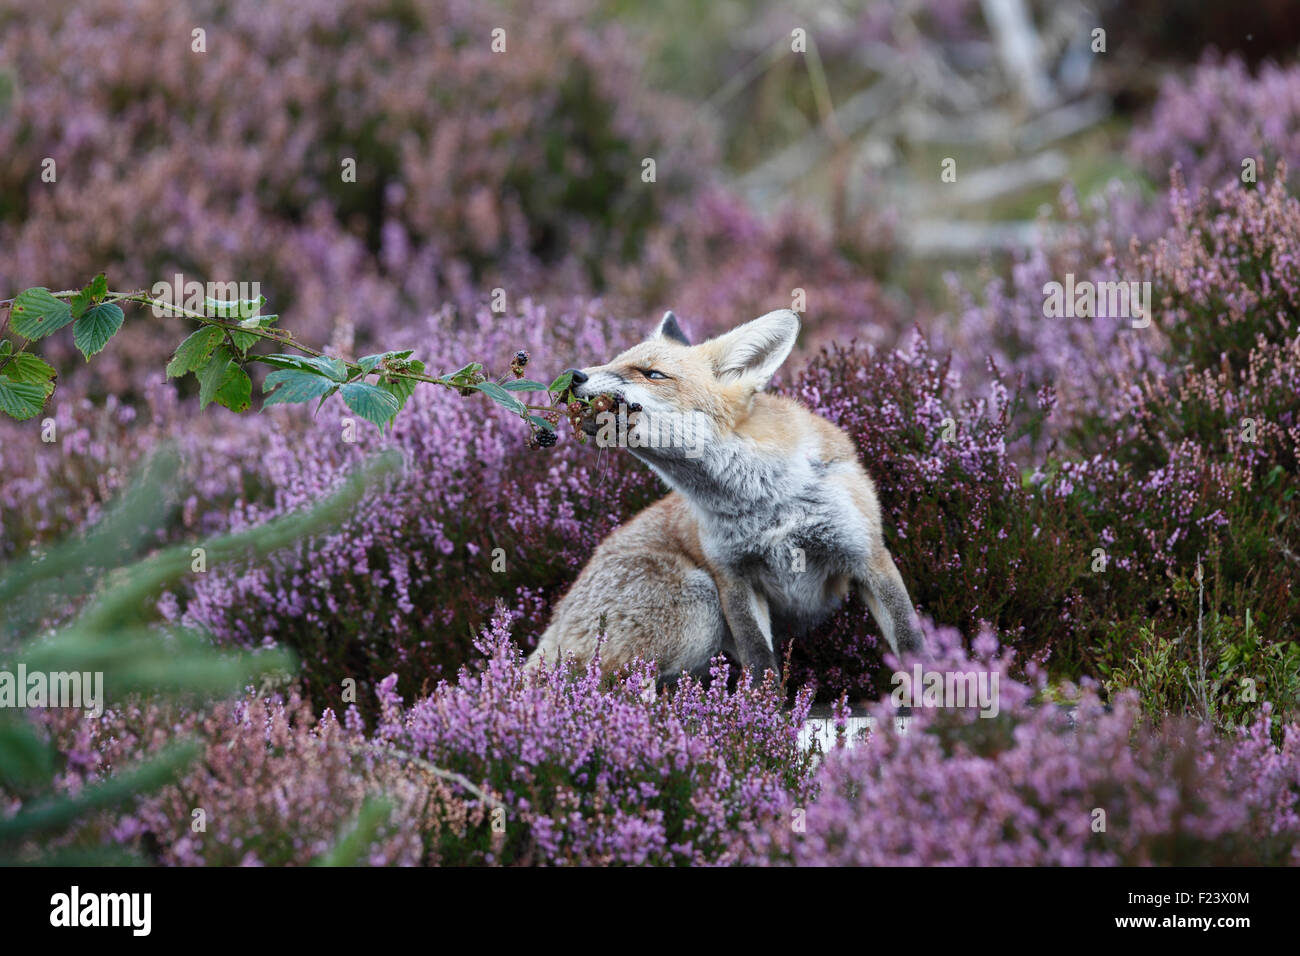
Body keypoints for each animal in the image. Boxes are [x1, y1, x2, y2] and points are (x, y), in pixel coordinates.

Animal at [526, 309, 925, 680]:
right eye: (611, 361)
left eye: (652, 374)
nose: (573, 375)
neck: (765, 504)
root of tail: (556, 620)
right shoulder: (732, 576)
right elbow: (759, 661)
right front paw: (762, 708)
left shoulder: (868, 556)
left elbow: (910, 644)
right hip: (700, 604)